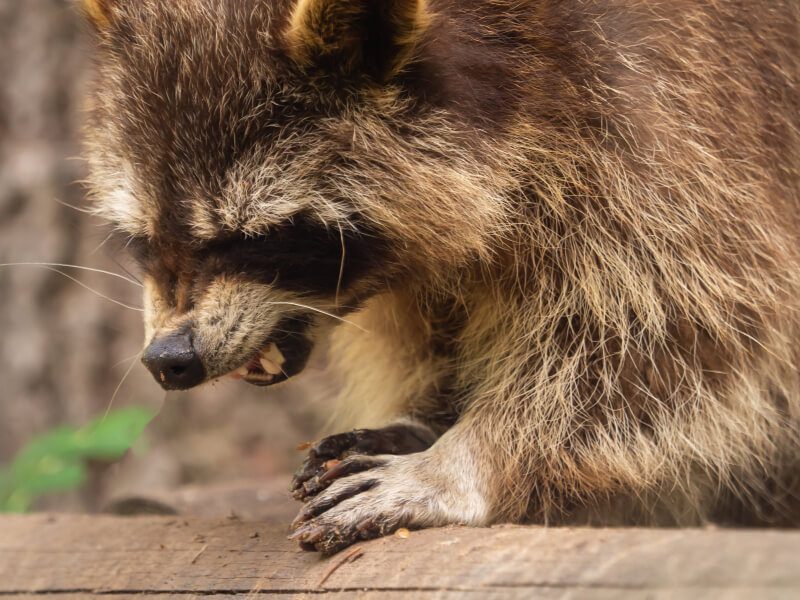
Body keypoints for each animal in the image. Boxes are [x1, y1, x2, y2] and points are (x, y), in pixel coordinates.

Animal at [81, 0, 800, 553]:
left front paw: (463, 461)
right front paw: (427, 418)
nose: (169, 359)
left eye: (257, 239)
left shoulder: (662, 114)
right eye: (142, 241)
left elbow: (680, 338)